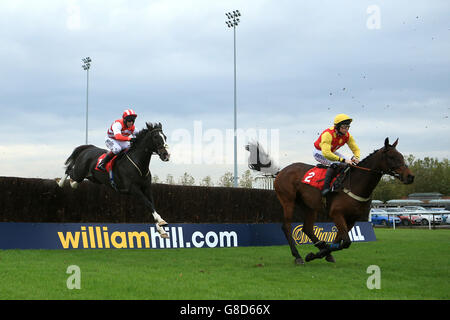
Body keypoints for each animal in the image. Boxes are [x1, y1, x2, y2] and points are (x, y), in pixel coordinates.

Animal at [246, 138, 414, 264]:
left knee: (307, 228)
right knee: (286, 227)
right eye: (392, 157)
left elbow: (340, 241)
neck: (356, 184)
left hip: (309, 206)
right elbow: (345, 242)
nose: (410, 176)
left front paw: (321, 253)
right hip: (288, 201)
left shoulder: (351, 219)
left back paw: (320, 247)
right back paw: (298, 256)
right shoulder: (336, 214)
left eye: (401, 156)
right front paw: (314, 254)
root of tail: (281, 171)